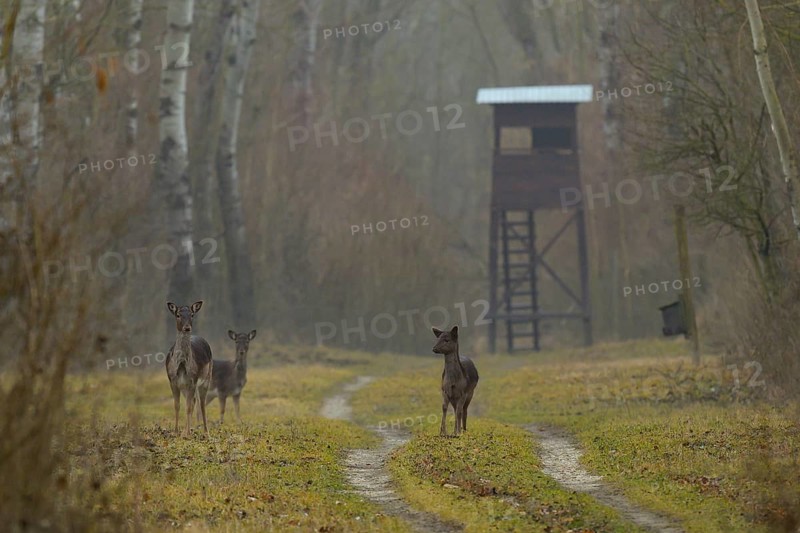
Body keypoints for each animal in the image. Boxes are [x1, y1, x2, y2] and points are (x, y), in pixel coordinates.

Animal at [165, 301, 213, 437]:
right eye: (178, 314)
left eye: (192, 314)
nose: (187, 328)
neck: (181, 365)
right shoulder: (172, 381)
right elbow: (177, 405)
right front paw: (176, 432)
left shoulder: (192, 381)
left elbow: (188, 407)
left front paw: (186, 433)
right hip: (186, 387)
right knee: (194, 402)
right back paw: (188, 429)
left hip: (206, 378)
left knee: (201, 404)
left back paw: (206, 432)